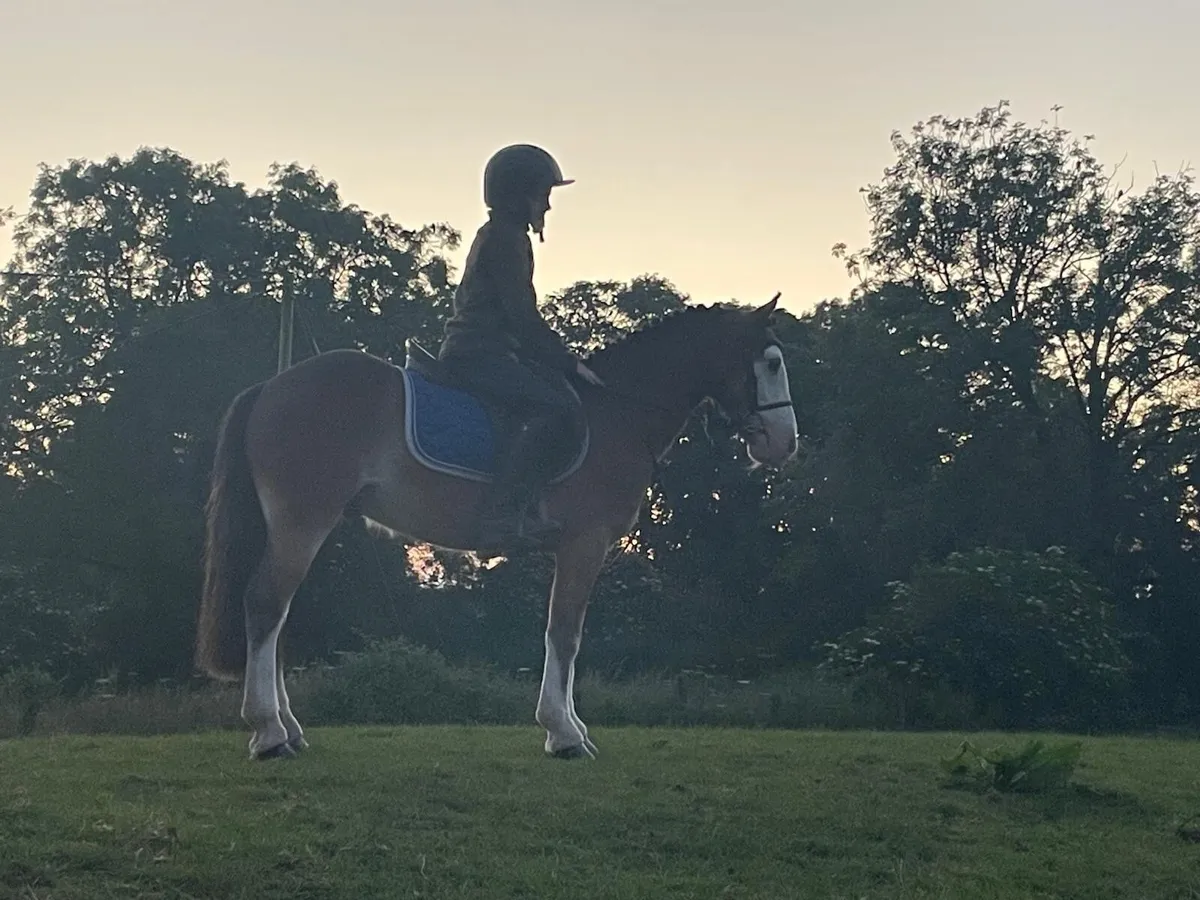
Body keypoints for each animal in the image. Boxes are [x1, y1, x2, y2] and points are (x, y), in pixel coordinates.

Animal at [194, 296, 798, 760]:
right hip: (302, 520)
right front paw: (563, 734)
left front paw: (569, 728)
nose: (784, 443)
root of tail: (272, 386)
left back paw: (289, 729)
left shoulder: (573, 548)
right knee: (265, 604)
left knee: (277, 612)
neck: (617, 413)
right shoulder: (584, 544)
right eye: (770, 362)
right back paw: (269, 732)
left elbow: (565, 633)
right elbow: (566, 633)